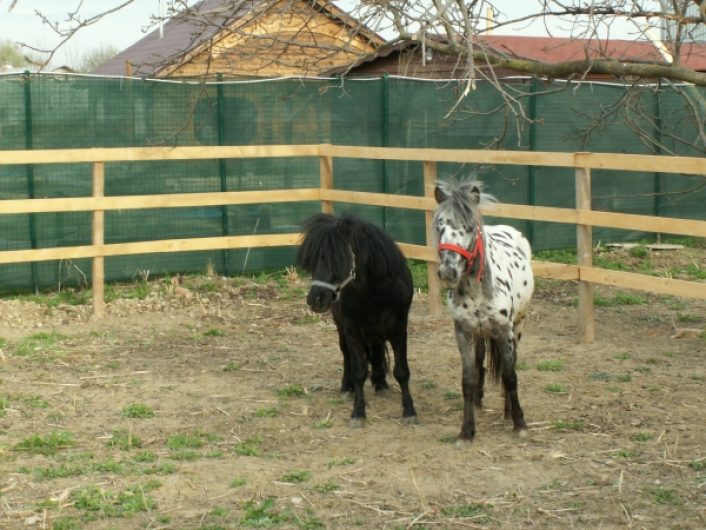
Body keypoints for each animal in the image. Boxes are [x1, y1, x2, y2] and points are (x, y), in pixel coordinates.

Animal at [294, 210, 416, 424]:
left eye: (338, 259)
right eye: (313, 261)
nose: (315, 299)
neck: (374, 292)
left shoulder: (398, 328)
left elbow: (402, 371)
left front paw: (409, 412)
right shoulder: (352, 330)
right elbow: (358, 371)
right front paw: (358, 413)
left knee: (376, 348)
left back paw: (380, 384)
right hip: (341, 326)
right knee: (346, 353)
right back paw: (347, 387)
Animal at [428, 177, 532, 442]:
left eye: (468, 227)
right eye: (440, 227)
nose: (448, 272)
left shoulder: (505, 330)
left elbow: (510, 375)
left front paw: (519, 423)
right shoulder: (463, 332)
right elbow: (468, 379)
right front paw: (466, 431)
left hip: (518, 326)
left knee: (511, 364)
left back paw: (507, 410)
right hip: (480, 334)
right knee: (480, 361)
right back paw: (478, 401)